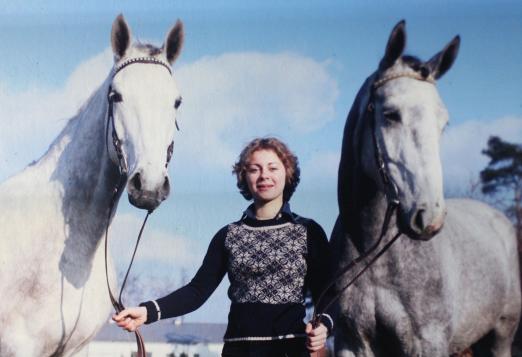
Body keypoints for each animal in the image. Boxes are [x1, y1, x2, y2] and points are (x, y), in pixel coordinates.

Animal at [332, 20, 516, 356]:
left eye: (444, 123)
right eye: (390, 114)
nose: (428, 216)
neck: (374, 257)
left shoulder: (427, 342)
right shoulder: (351, 341)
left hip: (501, 336)